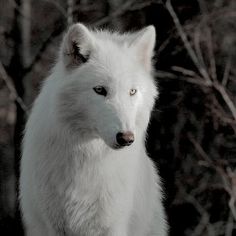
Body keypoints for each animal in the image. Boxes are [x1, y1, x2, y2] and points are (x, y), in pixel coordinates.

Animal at [20, 22, 168, 236]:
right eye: (100, 90)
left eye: (132, 91)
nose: (126, 138)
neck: (87, 158)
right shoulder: (52, 224)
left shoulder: (111, 225)